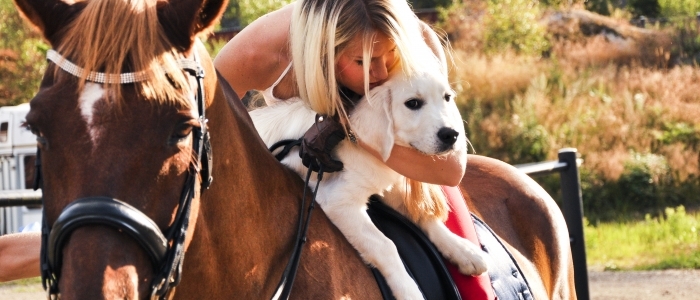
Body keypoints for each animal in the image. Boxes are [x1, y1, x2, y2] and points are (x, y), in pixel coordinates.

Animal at [252, 68, 486, 300]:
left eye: (447, 98)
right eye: (413, 103)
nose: (452, 135)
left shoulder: (390, 188)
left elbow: (424, 217)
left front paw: (464, 251)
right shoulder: (339, 202)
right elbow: (386, 246)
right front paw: (409, 290)